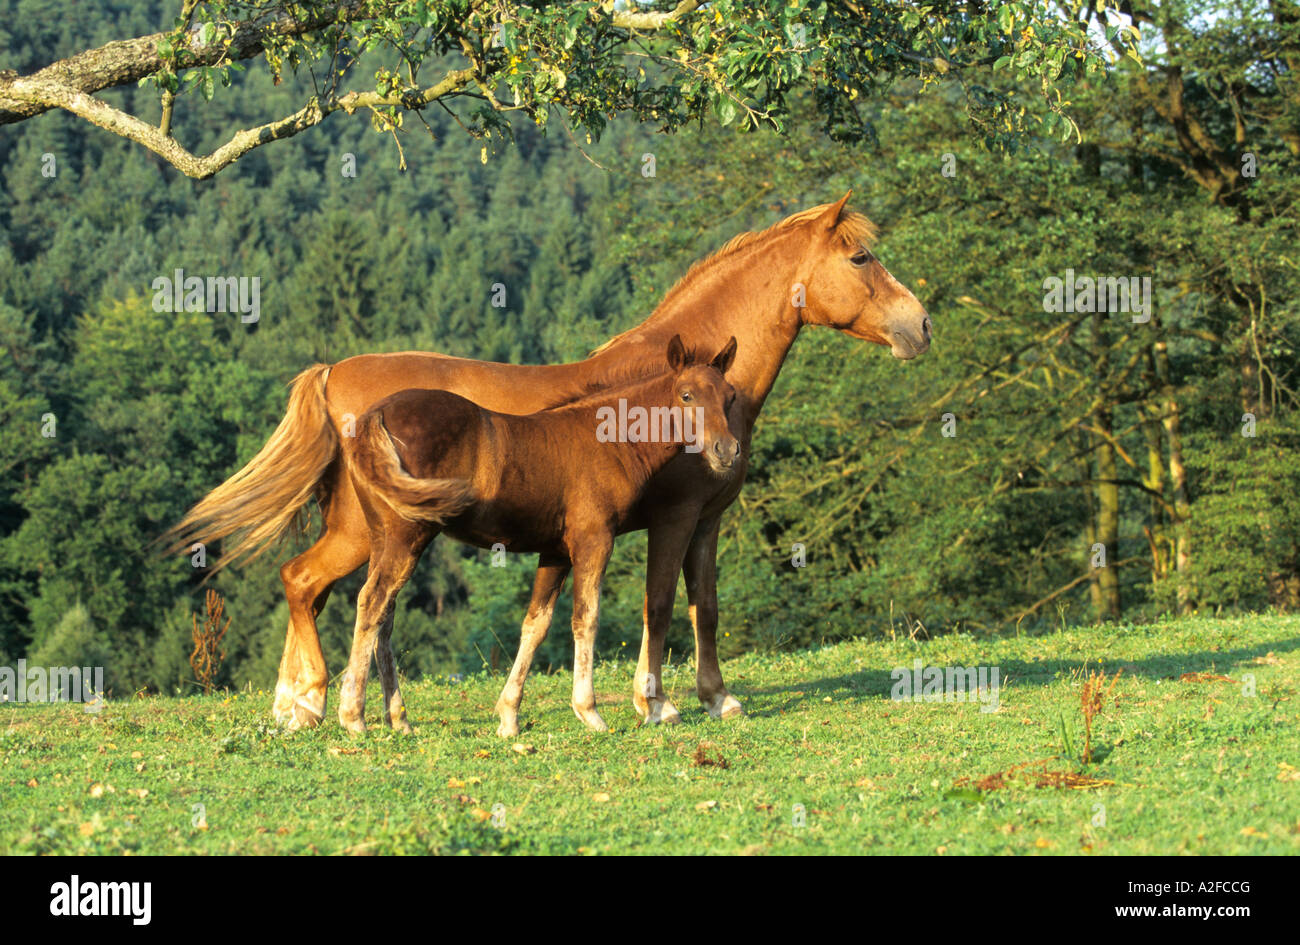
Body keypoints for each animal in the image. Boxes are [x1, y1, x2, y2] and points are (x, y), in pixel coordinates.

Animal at [338, 335, 743, 733]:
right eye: (687, 395)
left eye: (730, 396)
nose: (726, 450)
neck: (610, 441)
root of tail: (376, 416)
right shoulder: (594, 540)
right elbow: (586, 618)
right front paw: (588, 711)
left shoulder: (556, 552)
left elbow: (536, 624)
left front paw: (509, 716)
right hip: (408, 535)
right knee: (373, 601)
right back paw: (353, 716)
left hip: (384, 538)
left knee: (385, 614)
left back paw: (399, 719)